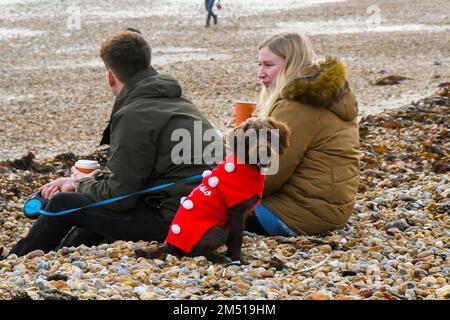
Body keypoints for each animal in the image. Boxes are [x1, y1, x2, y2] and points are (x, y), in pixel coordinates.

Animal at [134, 117, 290, 262]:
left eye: (269, 135)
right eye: (250, 137)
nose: (263, 152)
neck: (248, 166)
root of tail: (170, 245)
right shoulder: (236, 213)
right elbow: (236, 239)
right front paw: (238, 259)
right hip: (219, 229)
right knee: (192, 254)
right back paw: (219, 258)